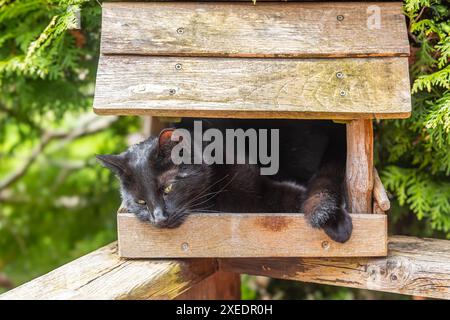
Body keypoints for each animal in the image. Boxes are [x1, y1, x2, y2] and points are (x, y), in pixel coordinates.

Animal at [97, 120, 352, 242]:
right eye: (140, 202)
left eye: (168, 188)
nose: (159, 218)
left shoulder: (260, 188)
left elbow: (298, 196)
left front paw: (336, 218)